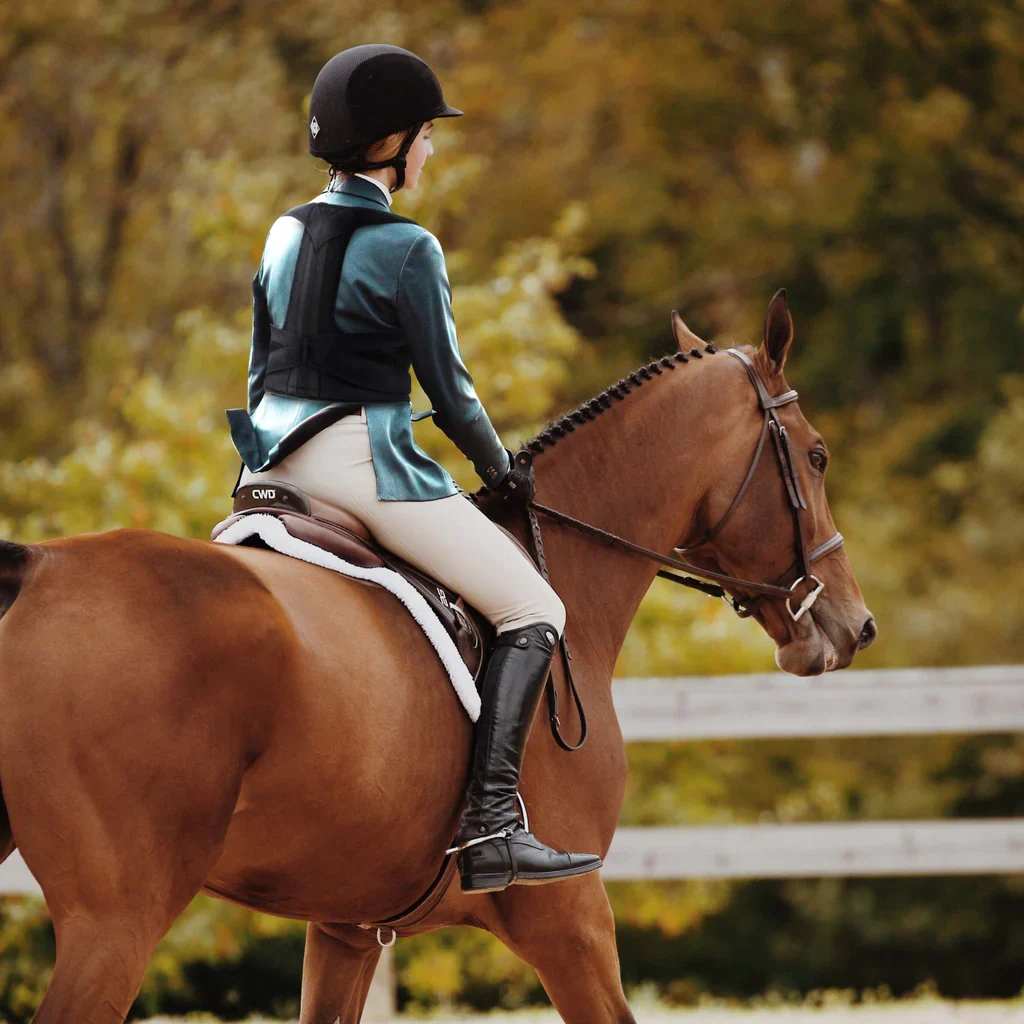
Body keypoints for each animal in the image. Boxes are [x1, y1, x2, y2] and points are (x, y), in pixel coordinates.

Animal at [0, 291, 874, 1023]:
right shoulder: (571, 914)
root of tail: (41, 566)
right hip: (117, 921)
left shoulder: (346, 929)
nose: (854, 625)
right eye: (818, 455)